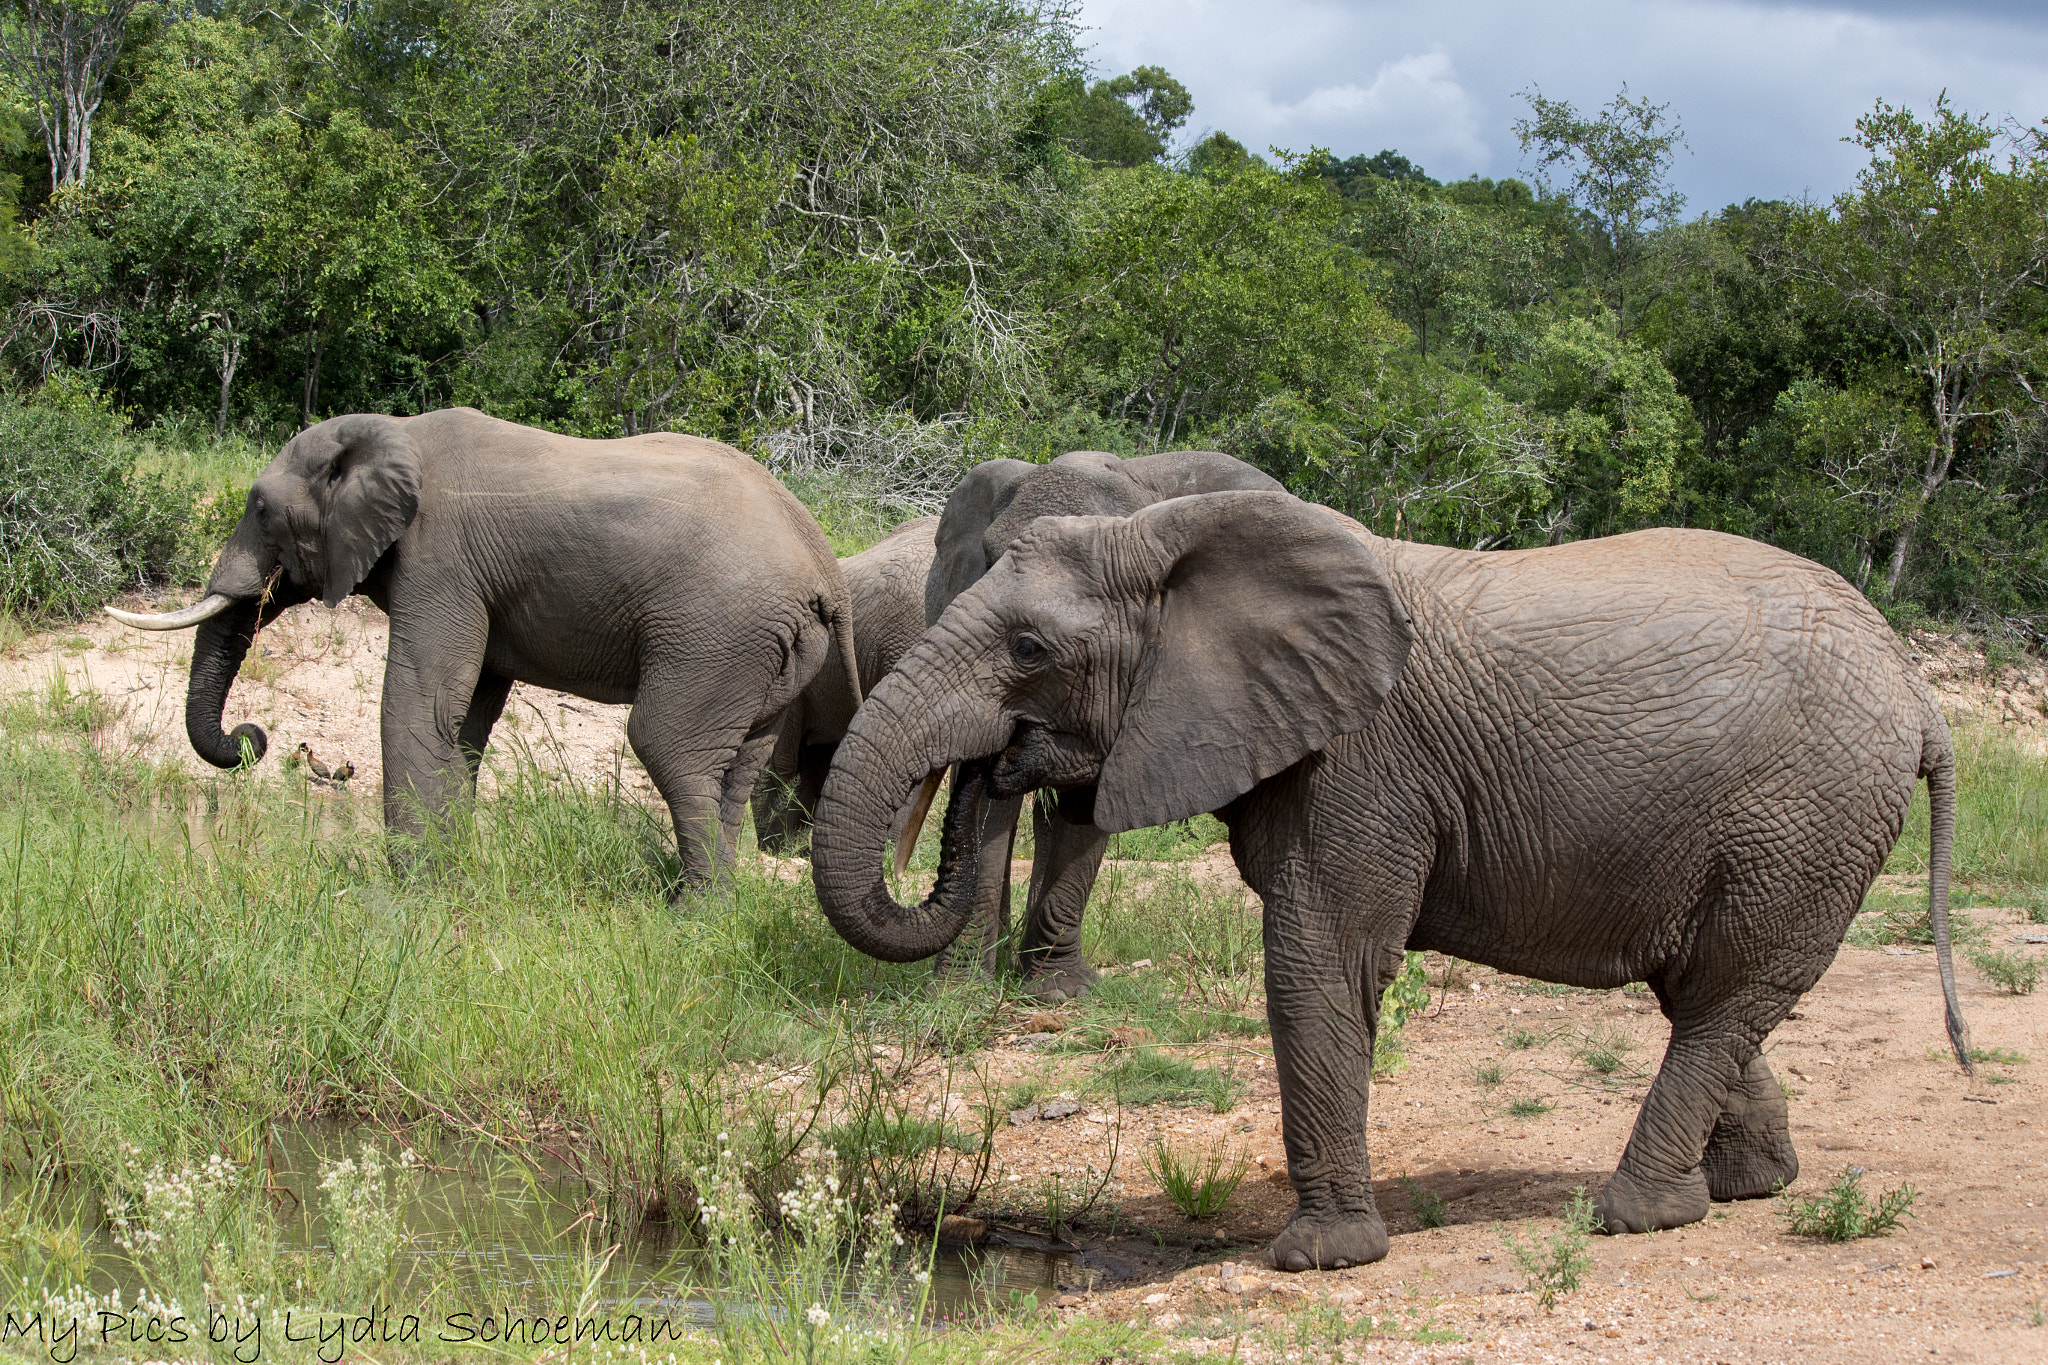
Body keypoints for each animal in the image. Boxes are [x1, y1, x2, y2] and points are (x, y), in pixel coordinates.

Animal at [109, 407, 857, 889]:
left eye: (260, 508)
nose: (253, 737)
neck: (392, 431)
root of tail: (824, 569)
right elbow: (465, 719)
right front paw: (449, 874)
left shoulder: (441, 561)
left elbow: (418, 704)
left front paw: (411, 892)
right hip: (766, 653)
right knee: (741, 764)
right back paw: (719, 908)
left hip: (717, 635)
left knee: (670, 744)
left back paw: (688, 913)